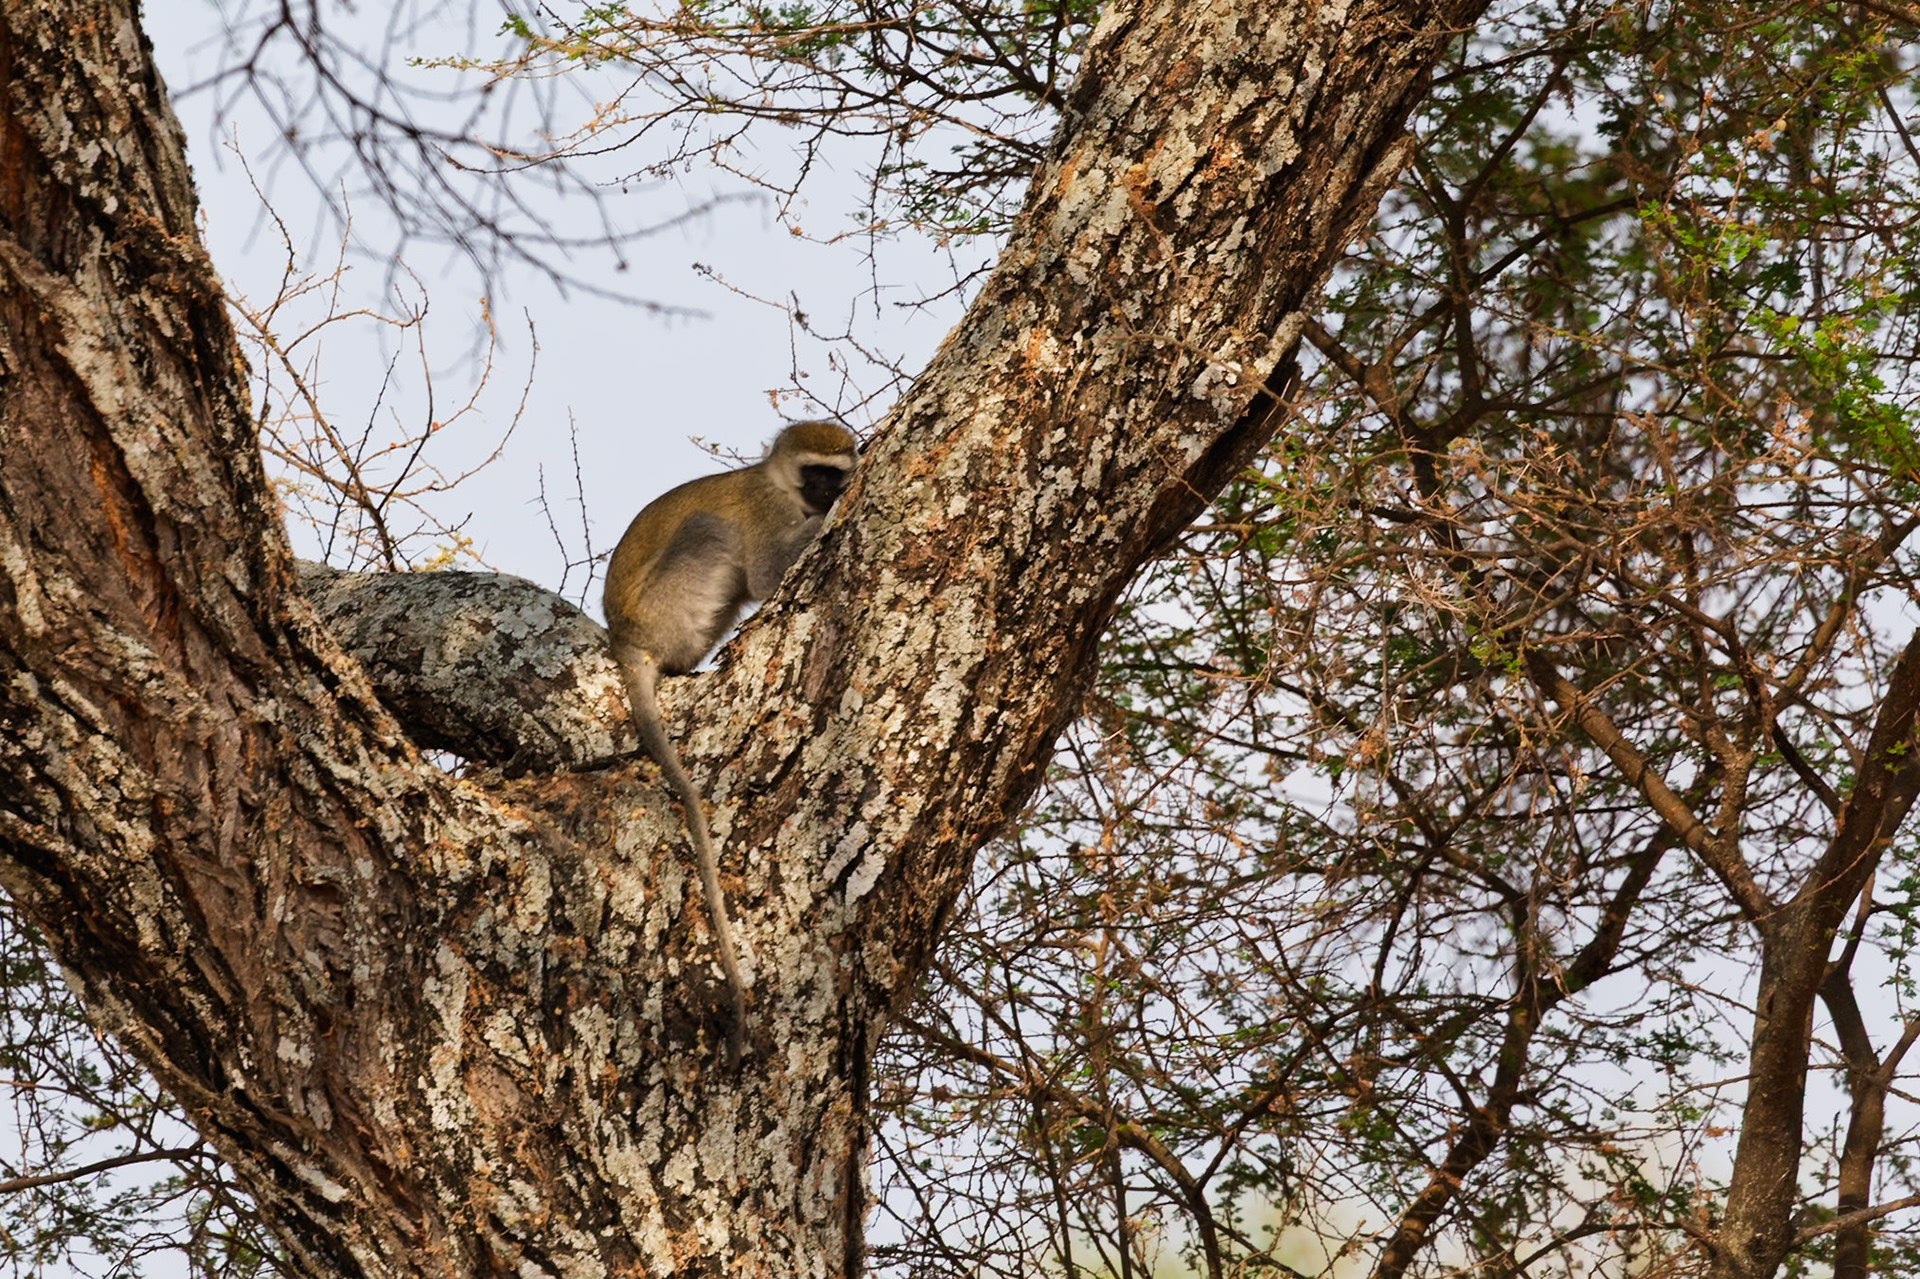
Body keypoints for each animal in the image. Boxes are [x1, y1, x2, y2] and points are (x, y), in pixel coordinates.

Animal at [603, 420, 859, 1066]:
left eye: (833, 472)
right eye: (815, 474)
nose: (828, 493)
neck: (779, 484)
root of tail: (626, 637)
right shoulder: (770, 512)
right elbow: (769, 572)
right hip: (670, 604)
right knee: (707, 529)